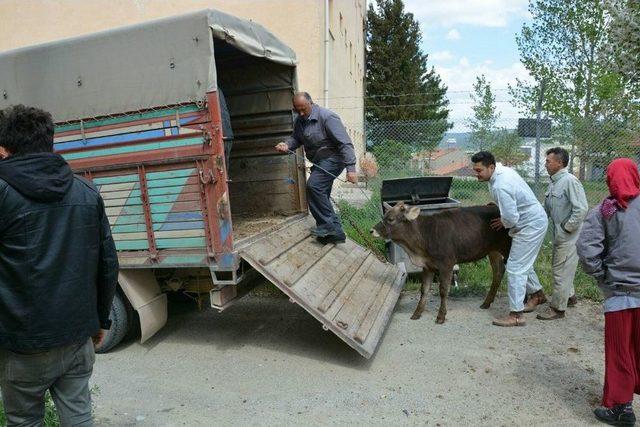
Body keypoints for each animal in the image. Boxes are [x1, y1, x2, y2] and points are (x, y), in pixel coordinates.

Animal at [370, 202, 510, 322]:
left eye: (391, 219)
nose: (372, 230)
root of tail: (494, 206)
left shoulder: (447, 264)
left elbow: (443, 290)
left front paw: (441, 316)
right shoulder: (427, 266)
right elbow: (424, 289)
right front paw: (417, 313)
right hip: (493, 251)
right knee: (498, 272)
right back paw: (486, 303)